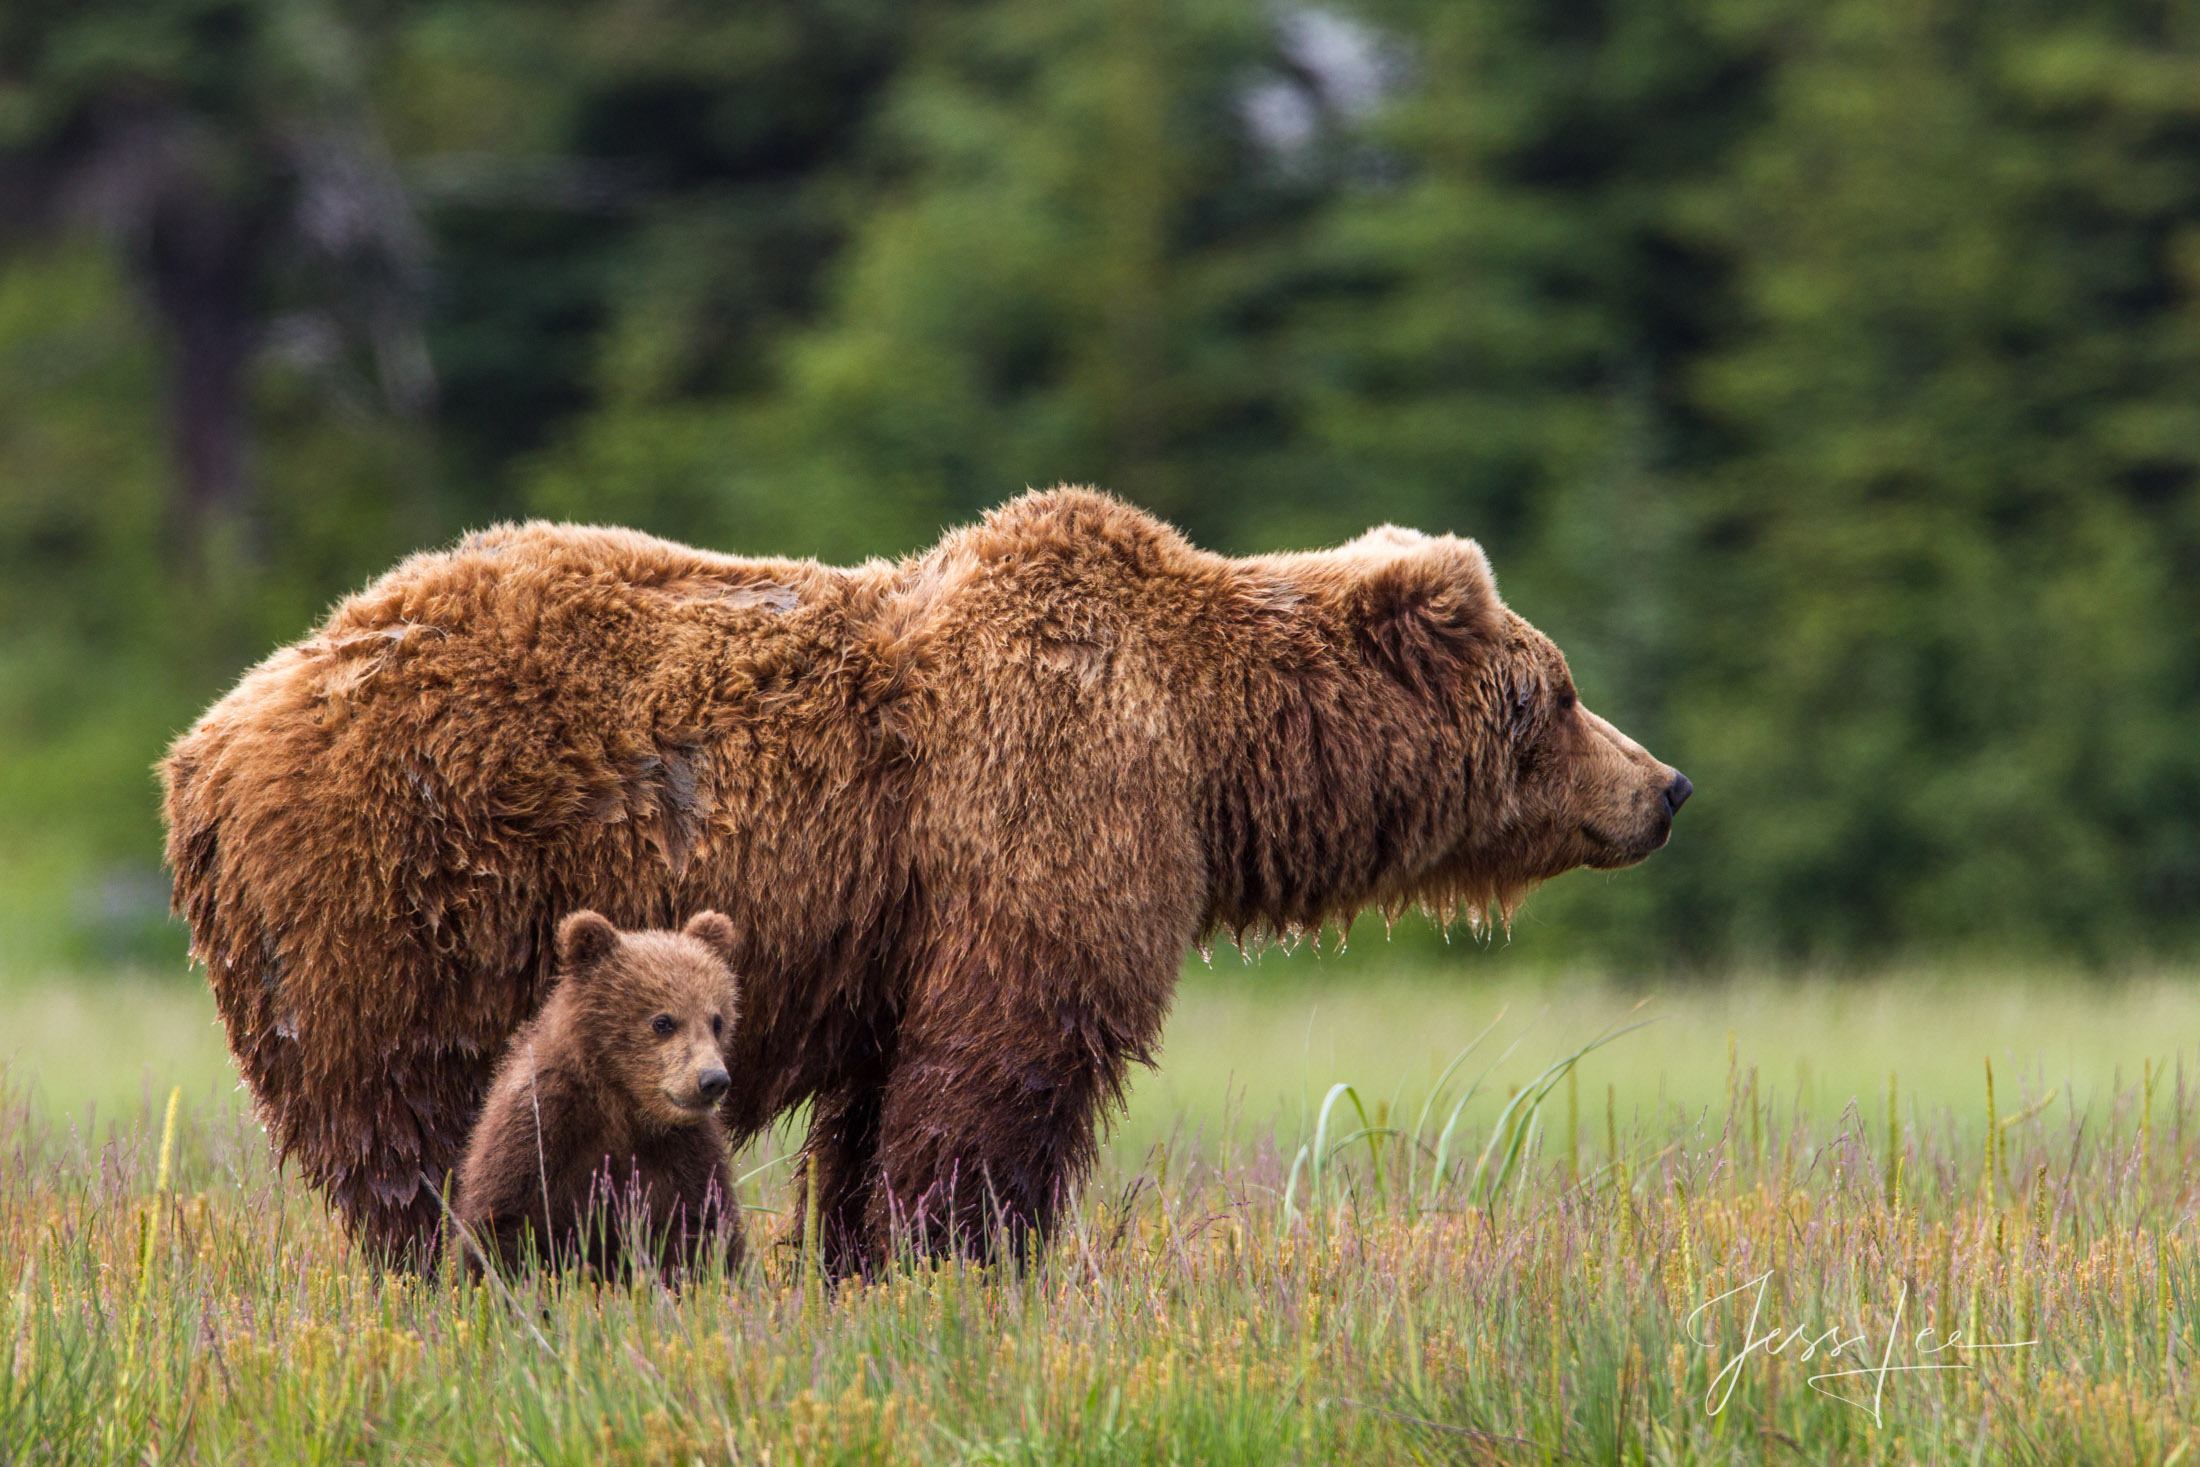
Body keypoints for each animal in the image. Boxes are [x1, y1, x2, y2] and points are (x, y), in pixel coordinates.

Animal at [162, 488, 1689, 1266]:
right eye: (1559, 690)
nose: (1664, 786)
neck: (1209, 744)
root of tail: (210, 737)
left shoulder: (899, 935)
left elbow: (886, 1098)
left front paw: (860, 1256)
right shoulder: (1049, 798)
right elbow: (1006, 1065)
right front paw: (966, 1256)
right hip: (397, 890)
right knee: (416, 1126)